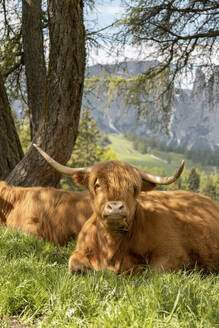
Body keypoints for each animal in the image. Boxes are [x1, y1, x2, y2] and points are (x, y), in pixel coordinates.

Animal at [34, 145, 219, 272]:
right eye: (97, 184)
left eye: (133, 188)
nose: (115, 207)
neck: (110, 247)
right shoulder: (80, 250)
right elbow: (74, 265)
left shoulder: (172, 253)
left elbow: (152, 272)